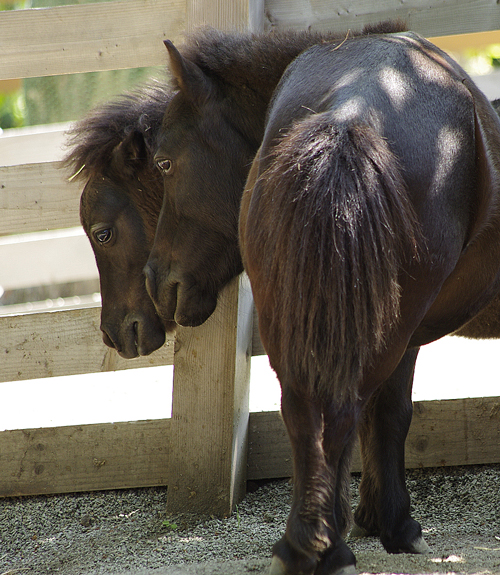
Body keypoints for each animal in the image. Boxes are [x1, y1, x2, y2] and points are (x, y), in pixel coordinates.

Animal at [149, 24, 500, 575]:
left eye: (164, 161)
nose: (155, 280)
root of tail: (347, 115)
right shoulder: (406, 336)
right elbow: (390, 415)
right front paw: (389, 522)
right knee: (340, 413)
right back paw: (327, 548)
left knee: (303, 414)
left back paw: (301, 545)